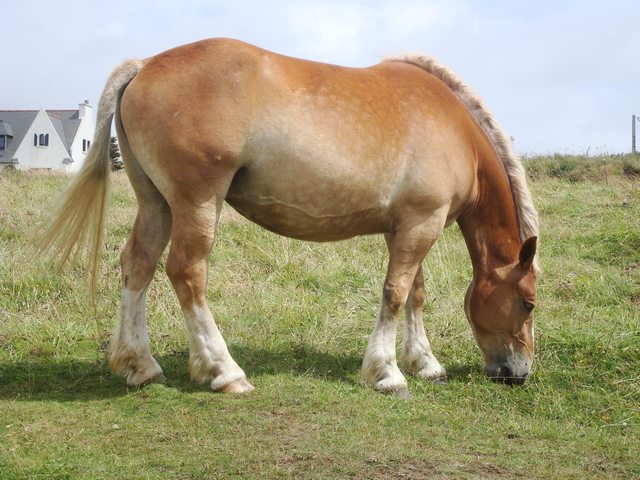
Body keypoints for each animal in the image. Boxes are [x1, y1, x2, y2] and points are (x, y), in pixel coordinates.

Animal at [38, 38, 540, 398]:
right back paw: (224, 371)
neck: (455, 130)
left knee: (137, 266)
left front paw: (425, 363)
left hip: (156, 204)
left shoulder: (407, 227)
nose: (517, 372)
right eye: (528, 303)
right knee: (187, 273)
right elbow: (396, 295)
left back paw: (139, 365)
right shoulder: (421, 224)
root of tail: (143, 66)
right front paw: (388, 372)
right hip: (197, 203)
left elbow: (414, 294)